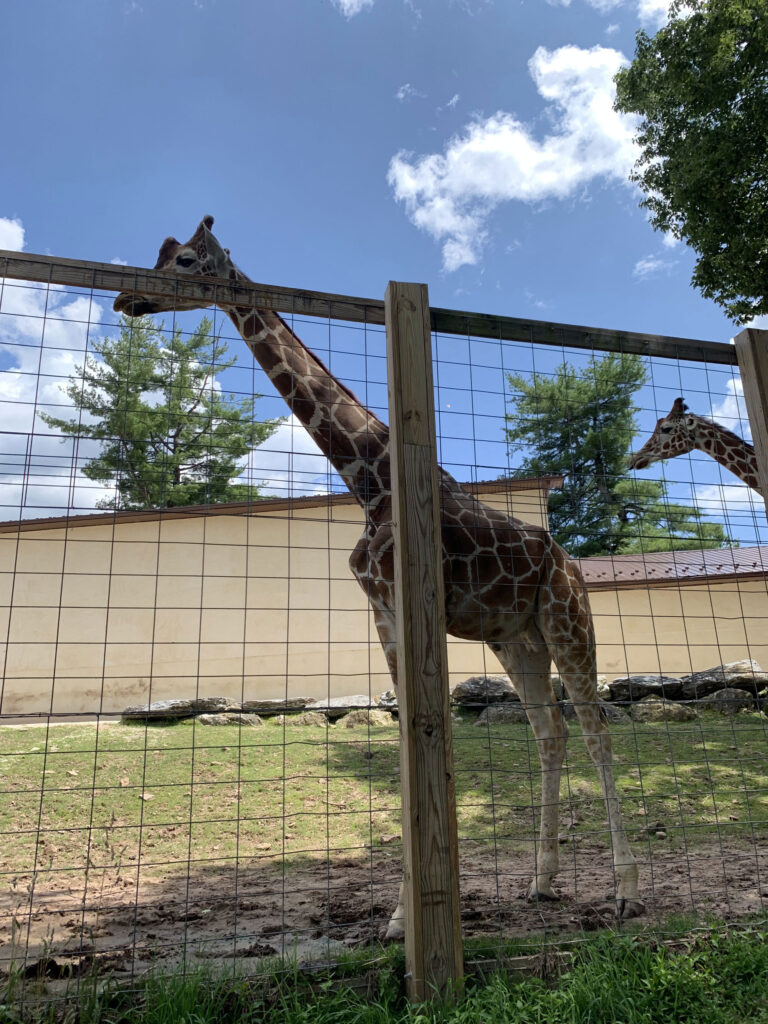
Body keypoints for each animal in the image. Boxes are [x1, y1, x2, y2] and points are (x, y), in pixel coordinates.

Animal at [114, 216, 643, 937]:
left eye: (187, 261)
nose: (125, 299)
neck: (367, 481)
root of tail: (572, 565)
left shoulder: (414, 605)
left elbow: (429, 738)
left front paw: (408, 916)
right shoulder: (383, 610)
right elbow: (405, 739)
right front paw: (402, 917)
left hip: (568, 623)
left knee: (597, 730)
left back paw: (625, 893)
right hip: (516, 639)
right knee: (550, 733)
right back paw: (541, 883)